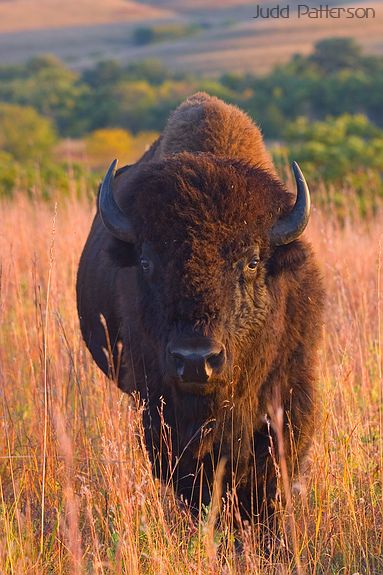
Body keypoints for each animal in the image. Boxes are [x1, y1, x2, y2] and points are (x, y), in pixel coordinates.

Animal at [76, 93, 326, 532]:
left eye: (252, 261)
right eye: (146, 262)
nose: (196, 360)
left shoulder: (288, 395)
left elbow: (268, 480)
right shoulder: (161, 410)